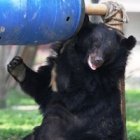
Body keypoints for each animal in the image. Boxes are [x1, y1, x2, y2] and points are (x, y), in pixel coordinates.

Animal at [7, 17, 136, 140]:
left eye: (108, 53)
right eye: (96, 44)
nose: (97, 61)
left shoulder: (95, 83)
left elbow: (73, 92)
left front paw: (70, 43)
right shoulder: (50, 79)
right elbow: (42, 89)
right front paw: (17, 66)